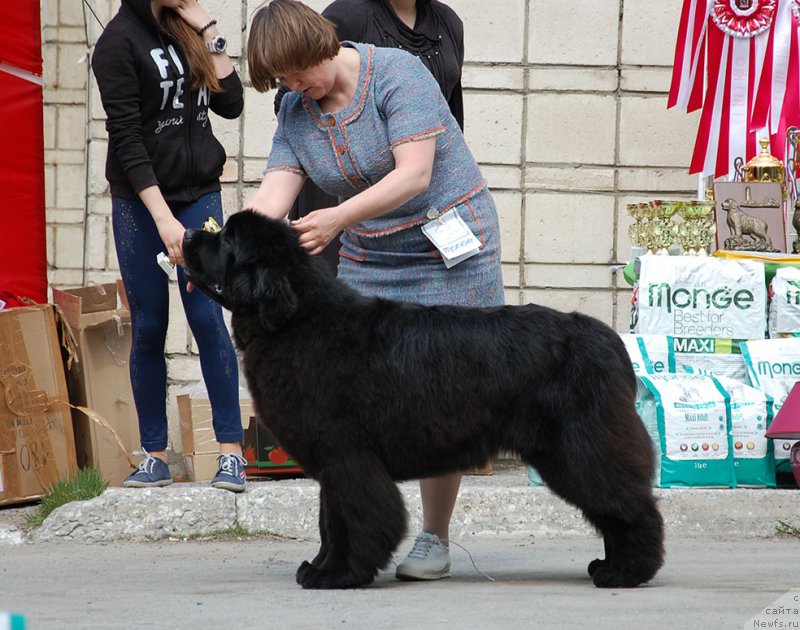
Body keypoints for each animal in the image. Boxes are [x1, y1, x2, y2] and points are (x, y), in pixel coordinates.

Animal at [184, 212, 664, 592]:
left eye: (226, 240)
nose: (186, 234)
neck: (298, 321)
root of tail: (606, 339)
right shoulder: (333, 464)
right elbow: (330, 521)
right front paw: (320, 568)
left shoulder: (348, 459)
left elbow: (353, 520)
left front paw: (338, 575)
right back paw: (612, 566)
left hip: (582, 449)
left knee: (630, 506)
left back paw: (628, 572)